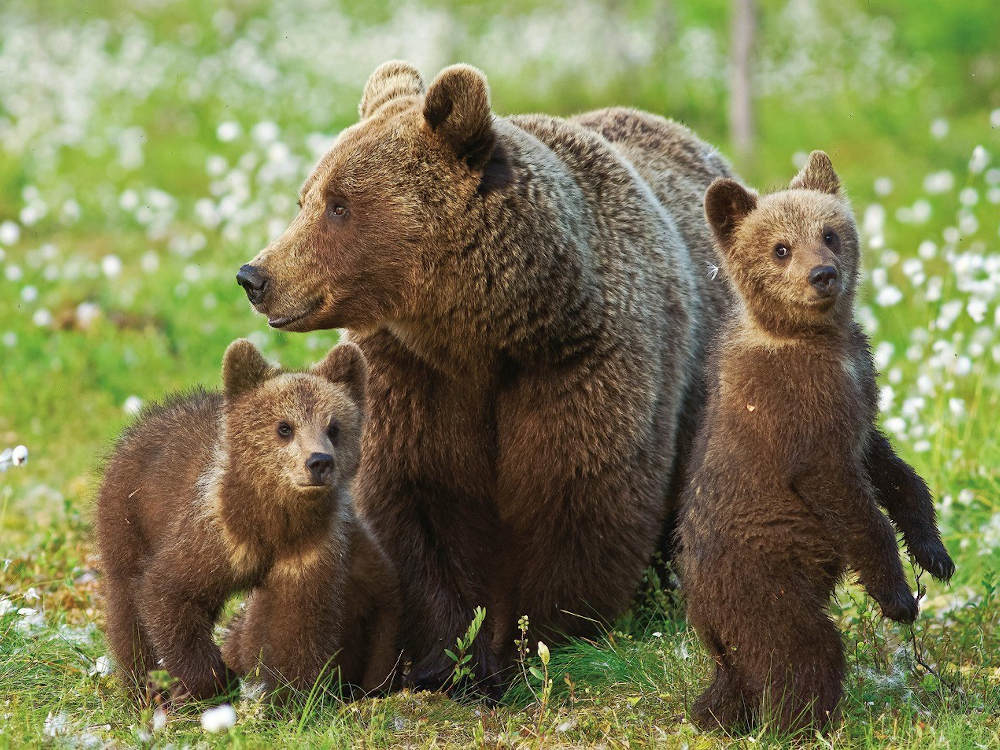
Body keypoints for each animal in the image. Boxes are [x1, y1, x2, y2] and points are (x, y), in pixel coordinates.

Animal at [236, 61, 736, 692]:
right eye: (307, 197)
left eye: (339, 205)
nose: (255, 276)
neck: (484, 332)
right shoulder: (414, 379)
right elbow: (420, 505)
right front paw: (447, 661)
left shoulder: (580, 365)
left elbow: (575, 499)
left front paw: (525, 650)